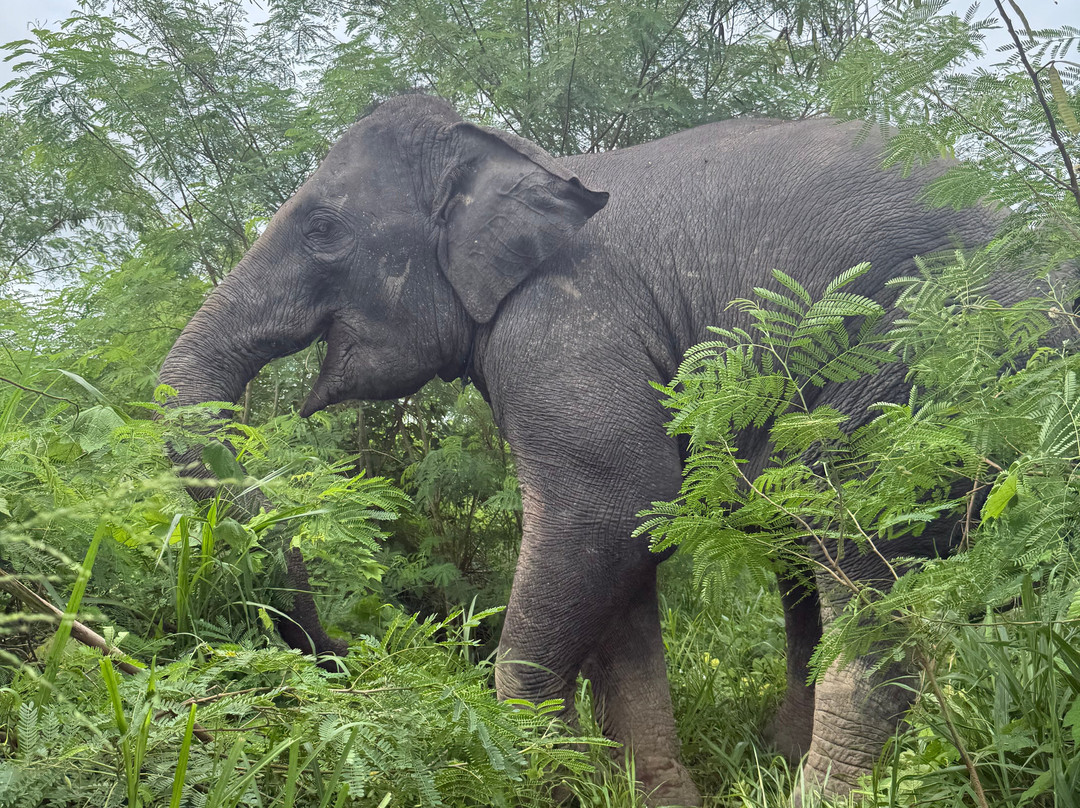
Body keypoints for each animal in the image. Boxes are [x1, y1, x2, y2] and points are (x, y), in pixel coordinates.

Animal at [160, 94, 1007, 805]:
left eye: (323, 230)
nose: (343, 652)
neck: (517, 157)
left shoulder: (560, 322)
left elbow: (611, 503)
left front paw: (543, 780)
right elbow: (627, 556)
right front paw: (652, 795)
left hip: (910, 370)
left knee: (867, 574)